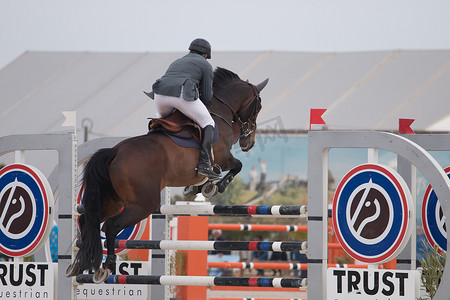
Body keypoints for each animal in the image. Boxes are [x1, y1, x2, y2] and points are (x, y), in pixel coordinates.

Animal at [67, 67, 268, 282]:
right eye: (258, 107)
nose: (248, 143)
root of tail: (115, 152)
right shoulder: (224, 157)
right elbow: (236, 166)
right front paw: (214, 187)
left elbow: (205, 176)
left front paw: (196, 187)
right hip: (142, 204)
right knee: (111, 226)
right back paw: (107, 266)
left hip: (113, 201)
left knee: (87, 220)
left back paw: (78, 264)